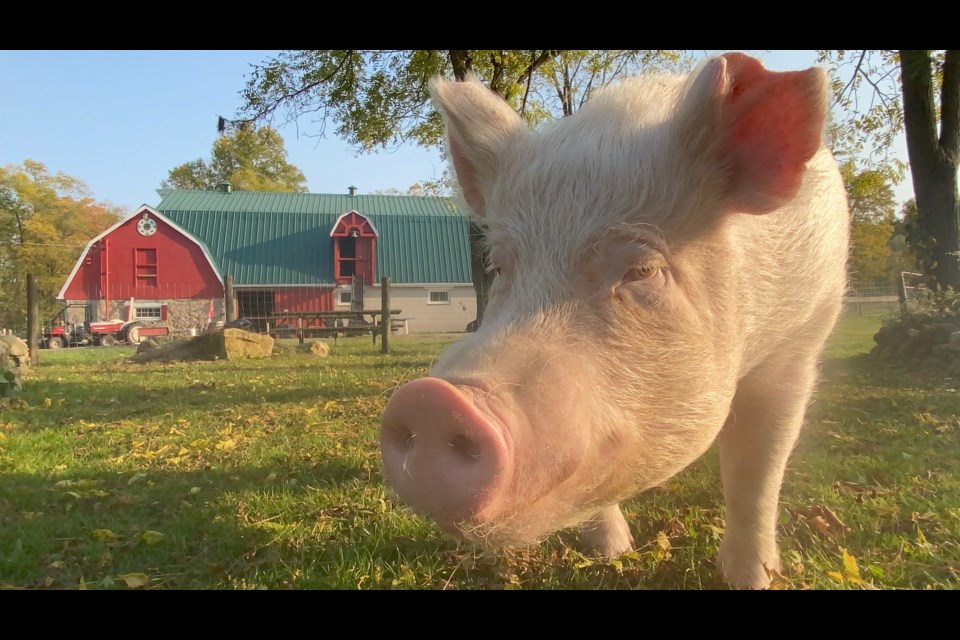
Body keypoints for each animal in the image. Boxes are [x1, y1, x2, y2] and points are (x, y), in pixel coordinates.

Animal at [378, 55, 852, 592]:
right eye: (498, 267)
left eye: (642, 270)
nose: (431, 400)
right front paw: (612, 553)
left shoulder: (798, 345)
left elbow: (757, 472)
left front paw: (752, 579)